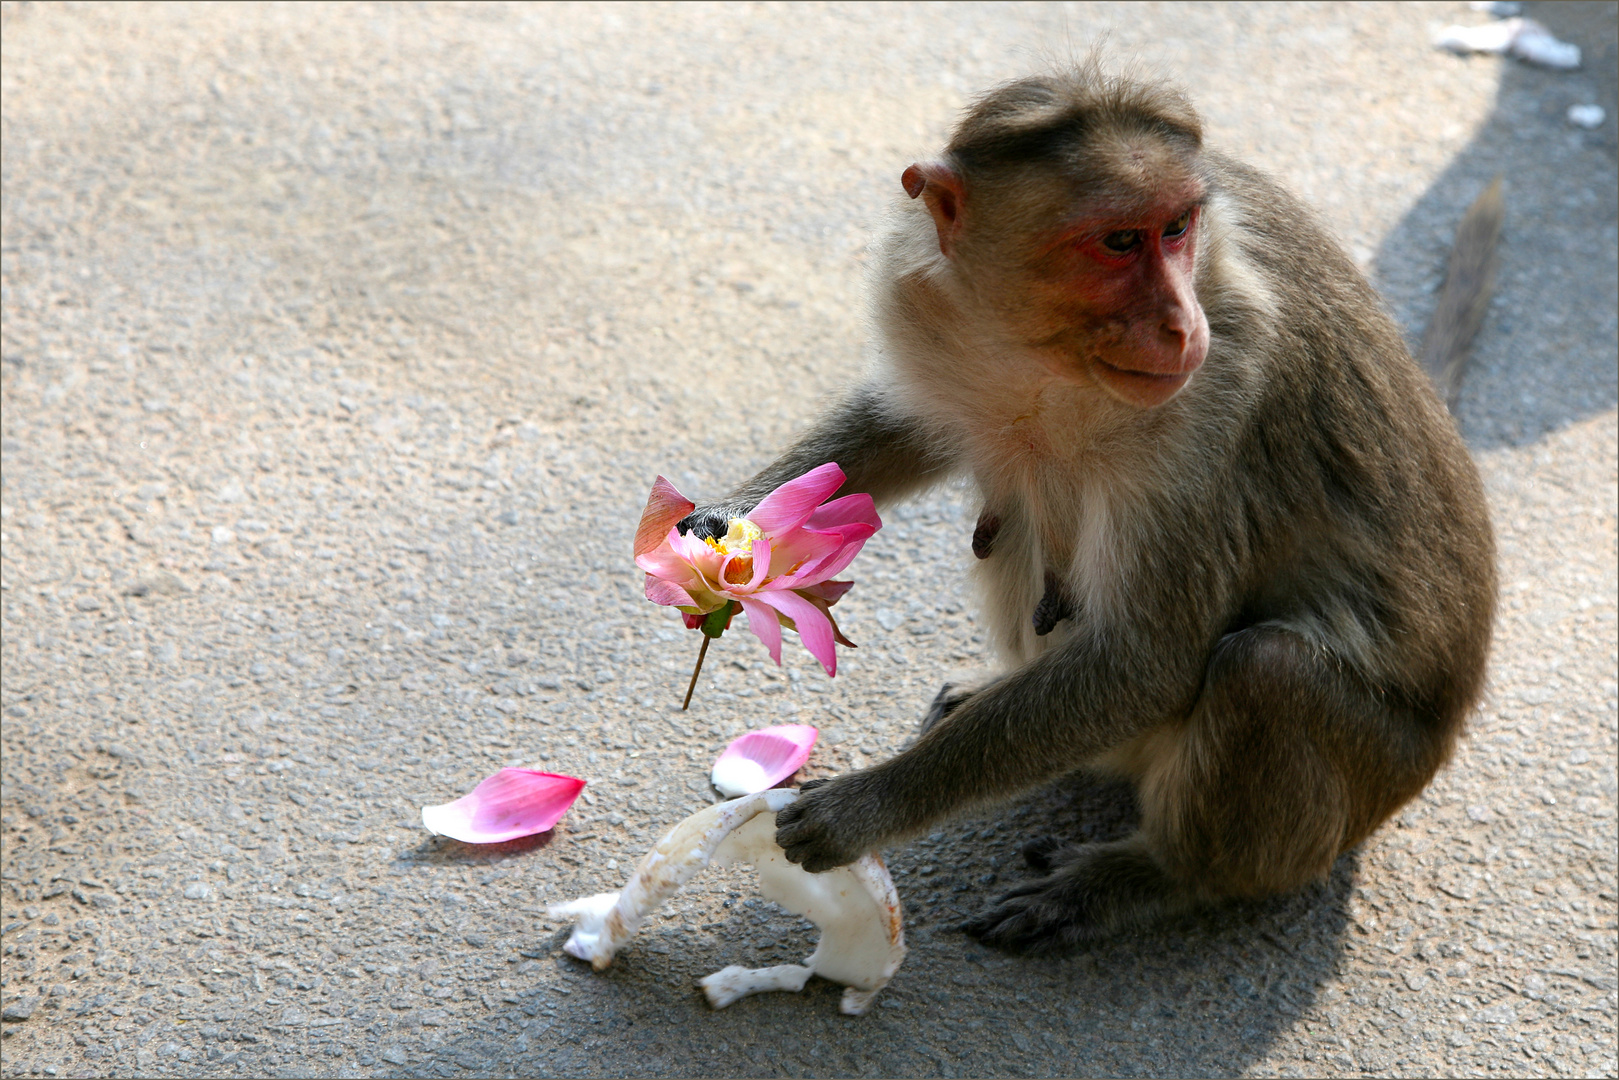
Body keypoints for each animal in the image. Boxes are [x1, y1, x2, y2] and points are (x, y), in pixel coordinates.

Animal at [676, 63, 1495, 952]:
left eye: (1176, 228)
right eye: (1118, 243)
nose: (1177, 323)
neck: (1042, 354)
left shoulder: (1216, 387)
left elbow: (1147, 660)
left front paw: (867, 806)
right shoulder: (922, 293)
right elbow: (901, 429)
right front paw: (728, 519)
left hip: (1372, 778)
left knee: (1263, 672)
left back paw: (1153, 877)